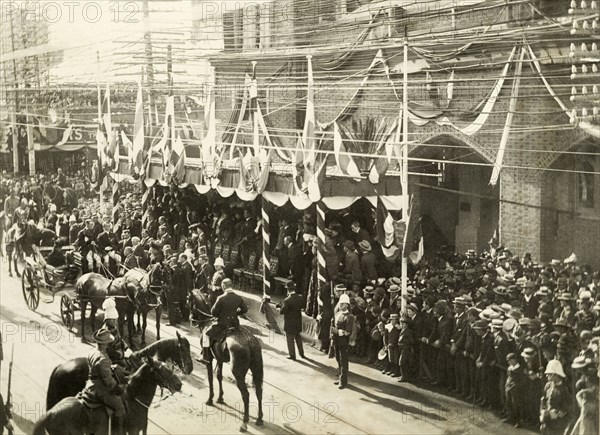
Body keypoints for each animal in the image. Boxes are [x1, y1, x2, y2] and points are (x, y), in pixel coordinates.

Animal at [191, 290, 264, 432]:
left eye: (188, 301)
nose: (191, 319)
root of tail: (250, 341)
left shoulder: (209, 360)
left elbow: (210, 379)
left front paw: (210, 399)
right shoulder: (219, 359)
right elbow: (219, 376)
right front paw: (220, 398)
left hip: (238, 373)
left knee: (246, 395)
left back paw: (244, 423)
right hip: (256, 370)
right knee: (259, 391)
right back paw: (259, 419)